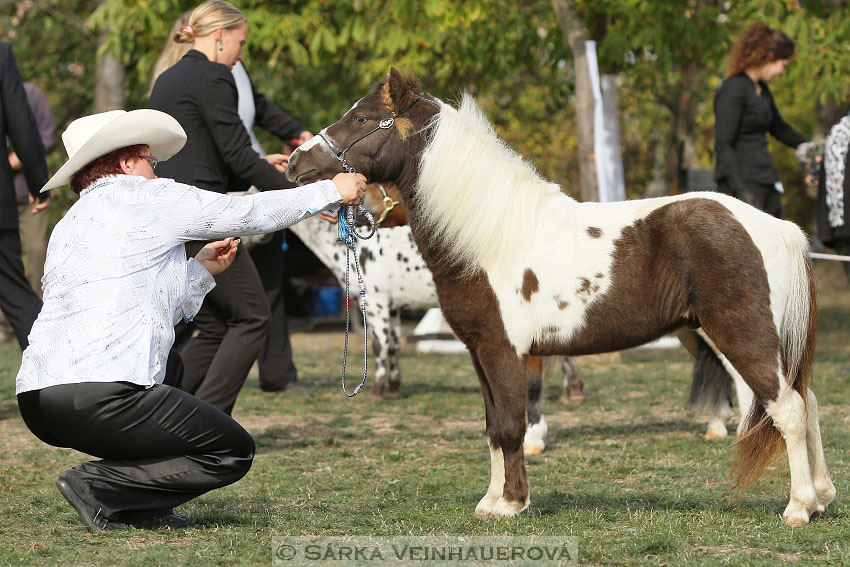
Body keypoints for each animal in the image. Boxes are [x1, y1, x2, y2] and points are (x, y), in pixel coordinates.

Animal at [286, 69, 836, 524]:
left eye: (361, 118)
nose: (295, 161)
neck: (489, 235)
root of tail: (776, 226)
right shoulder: (479, 353)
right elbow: (494, 426)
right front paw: (492, 500)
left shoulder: (503, 351)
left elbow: (512, 424)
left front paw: (510, 504)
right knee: (807, 400)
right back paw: (823, 496)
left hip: (741, 335)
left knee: (788, 408)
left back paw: (798, 508)